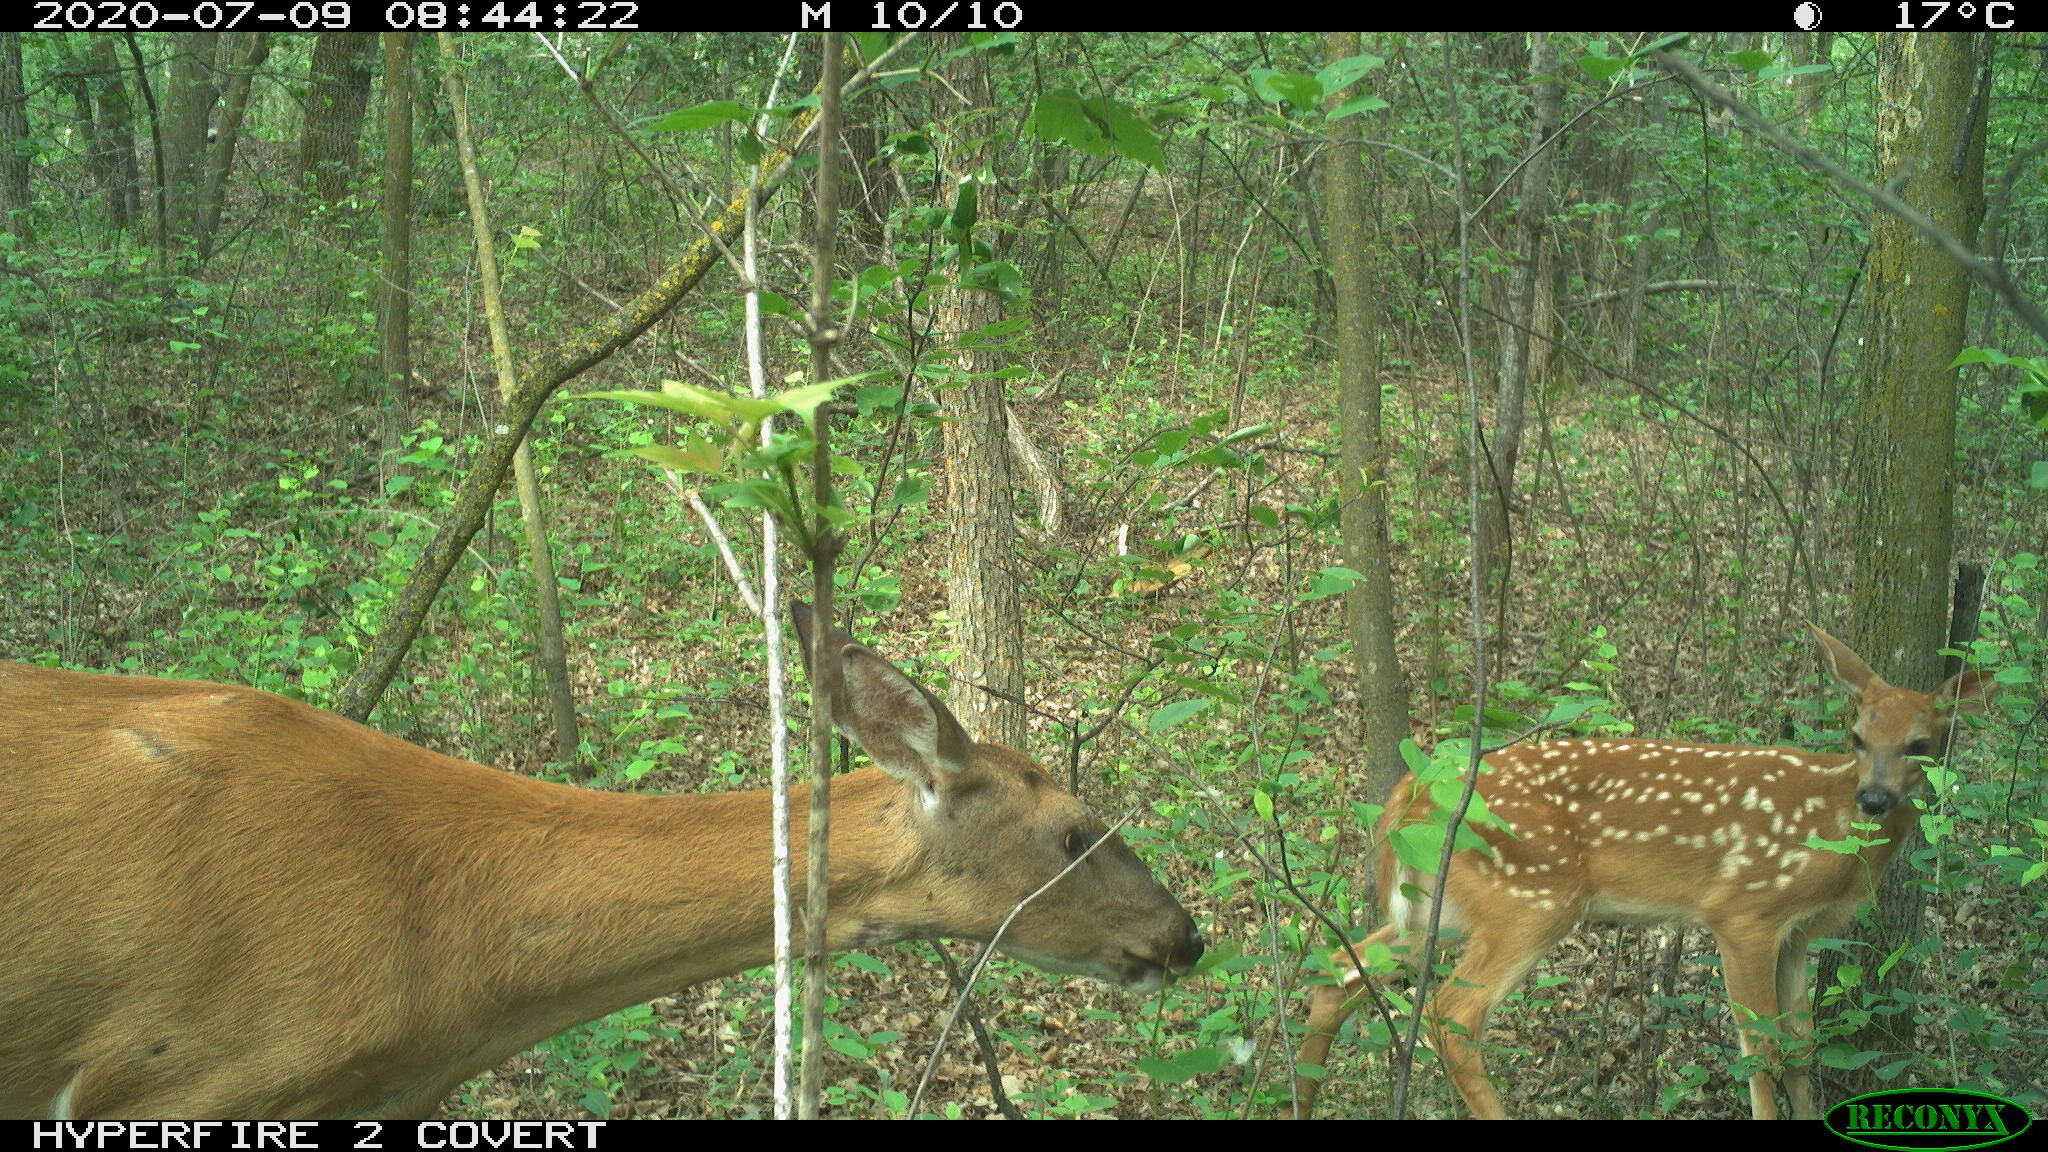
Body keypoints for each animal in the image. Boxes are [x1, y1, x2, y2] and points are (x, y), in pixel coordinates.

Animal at [1291, 624, 1991, 1120]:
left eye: (1920, 745)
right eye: (1856, 736)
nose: (1874, 799)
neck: (1830, 829)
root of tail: (1409, 792)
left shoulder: (1799, 934)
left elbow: (1801, 1047)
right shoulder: (1744, 912)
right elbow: (1759, 1050)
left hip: (1441, 909)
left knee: (1339, 969)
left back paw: (1303, 1098)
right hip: (1531, 897)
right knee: (1452, 1013)